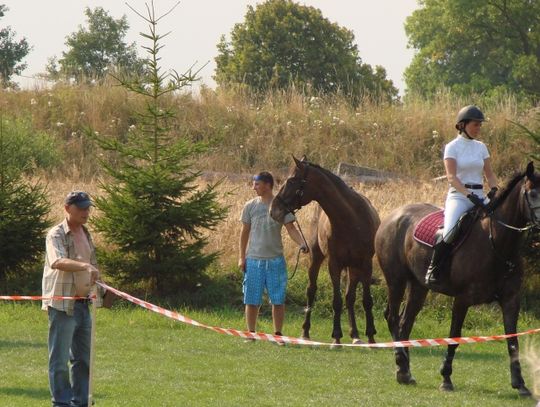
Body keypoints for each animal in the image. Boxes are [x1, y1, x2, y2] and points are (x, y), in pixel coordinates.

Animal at [270, 158, 380, 346]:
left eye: (291, 181)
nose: (273, 210)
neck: (351, 220)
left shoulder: (365, 264)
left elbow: (366, 300)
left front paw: (371, 337)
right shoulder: (334, 264)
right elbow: (336, 301)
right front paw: (336, 336)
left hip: (353, 268)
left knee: (350, 297)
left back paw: (356, 335)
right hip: (317, 259)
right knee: (311, 291)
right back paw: (305, 332)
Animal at [376, 162, 540, 396]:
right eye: (533, 193)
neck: (497, 244)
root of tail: (394, 215)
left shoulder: (511, 300)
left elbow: (513, 342)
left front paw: (521, 384)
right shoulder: (462, 300)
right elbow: (454, 337)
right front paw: (446, 379)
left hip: (418, 286)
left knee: (404, 322)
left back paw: (405, 373)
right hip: (396, 280)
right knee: (392, 317)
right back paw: (401, 365)